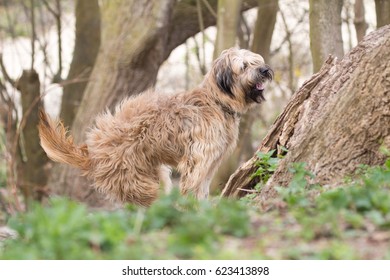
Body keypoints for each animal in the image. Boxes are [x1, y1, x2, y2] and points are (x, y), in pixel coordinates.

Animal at [38, 47, 272, 206]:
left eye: (256, 61)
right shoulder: (198, 159)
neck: (217, 101)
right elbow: (193, 185)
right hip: (136, 182)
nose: (265, 70)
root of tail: (93, 153)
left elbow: (202, 188)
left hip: (152, 173)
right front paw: (193, 210)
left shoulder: (210, 163)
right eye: (244, 66)